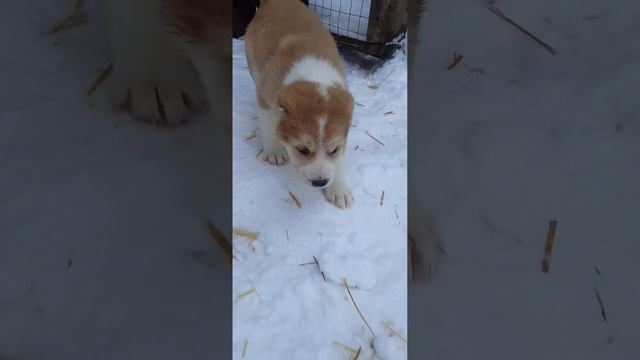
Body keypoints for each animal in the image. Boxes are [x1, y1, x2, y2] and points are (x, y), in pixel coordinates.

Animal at [244, 0, 356, 208]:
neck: (315, 75)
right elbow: (268, 126)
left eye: (333, 150)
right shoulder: (265, 99)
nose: (320, 182)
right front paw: (274, 151)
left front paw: (338, 188)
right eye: (303, 150)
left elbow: (339, 159)